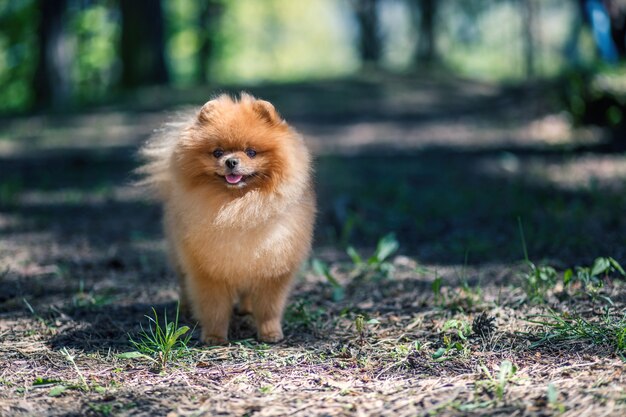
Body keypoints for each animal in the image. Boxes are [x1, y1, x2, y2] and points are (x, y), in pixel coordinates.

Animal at [136, 92, 312, 342]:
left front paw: (270, 333)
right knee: (183, 284)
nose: (231, 161)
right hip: (179, 256)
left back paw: (246, 309)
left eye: (251, 152)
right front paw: (214, 337)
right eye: (217, 152)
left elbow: (269, 308)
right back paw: (186, 309)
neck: (237, 208)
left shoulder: (273, 270)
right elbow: (214, 308)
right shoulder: (208, 272)